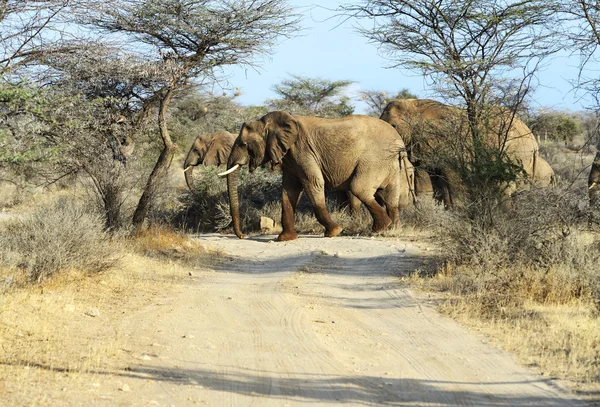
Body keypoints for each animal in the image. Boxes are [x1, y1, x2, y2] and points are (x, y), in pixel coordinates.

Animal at [219, 110, 412, 241]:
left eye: (244, 145)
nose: (242, 236)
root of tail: (399, 140)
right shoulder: (290, 157)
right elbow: (289, 190)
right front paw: (285, 239)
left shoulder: (302, 150)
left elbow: (313, 183)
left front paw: (334, 232)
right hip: (389, 163)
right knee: (389, 196)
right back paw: (392, 229)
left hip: (374, 159)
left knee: (359, 188)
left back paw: (380, 228)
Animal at [382, 99, 556, 207]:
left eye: (394, 126)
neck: (414, 105)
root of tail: (533, 140)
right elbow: (424, 178)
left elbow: (453, 178)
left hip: (514, 153)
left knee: (504, 187)